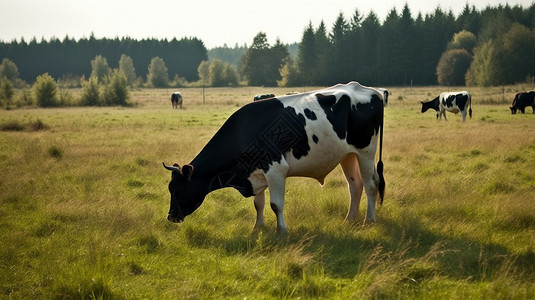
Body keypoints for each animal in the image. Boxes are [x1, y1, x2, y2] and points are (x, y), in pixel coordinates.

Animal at [162, 82, 386, 232]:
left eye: (176, 189)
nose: (171, 216)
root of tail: (370, 90)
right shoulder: (254, 174)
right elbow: (258, 204)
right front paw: (257, 228)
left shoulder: (275, 169)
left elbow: (276, 205)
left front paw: (282, 231)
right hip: (347, 155)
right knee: (355, 185)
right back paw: (350, 219)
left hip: (366, 152)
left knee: (370, 184)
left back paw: (369, 220)